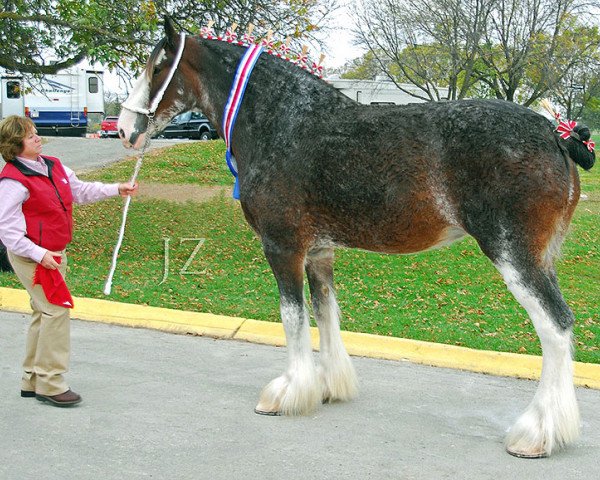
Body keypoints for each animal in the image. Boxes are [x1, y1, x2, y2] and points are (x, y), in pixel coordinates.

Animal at [118, 18, 596, 460]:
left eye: (158, 66)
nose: (124, 129)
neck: (281, 121)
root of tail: (555, 135)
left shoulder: (282, 247)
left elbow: (292, 318)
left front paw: (289, 393)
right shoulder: (319, 252)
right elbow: (326, 313)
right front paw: (328, 387)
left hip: (514, 255)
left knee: (555, 327)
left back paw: (536, 434)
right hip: (541, 258)